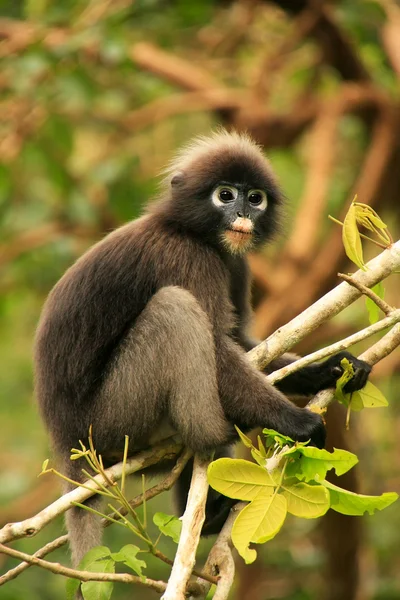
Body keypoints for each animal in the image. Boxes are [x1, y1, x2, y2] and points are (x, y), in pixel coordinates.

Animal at [33, 130, 368, 568]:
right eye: (225, 195)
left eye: (254, 198)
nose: (242, 213)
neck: (192, 232)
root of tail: (64, 445)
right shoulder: (186, 256)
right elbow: (220, 351)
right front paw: (295, 421)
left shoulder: (235, 262)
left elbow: (243, 344)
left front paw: (333, 368)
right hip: (109, 425)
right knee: (174, 309)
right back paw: (214, 435)